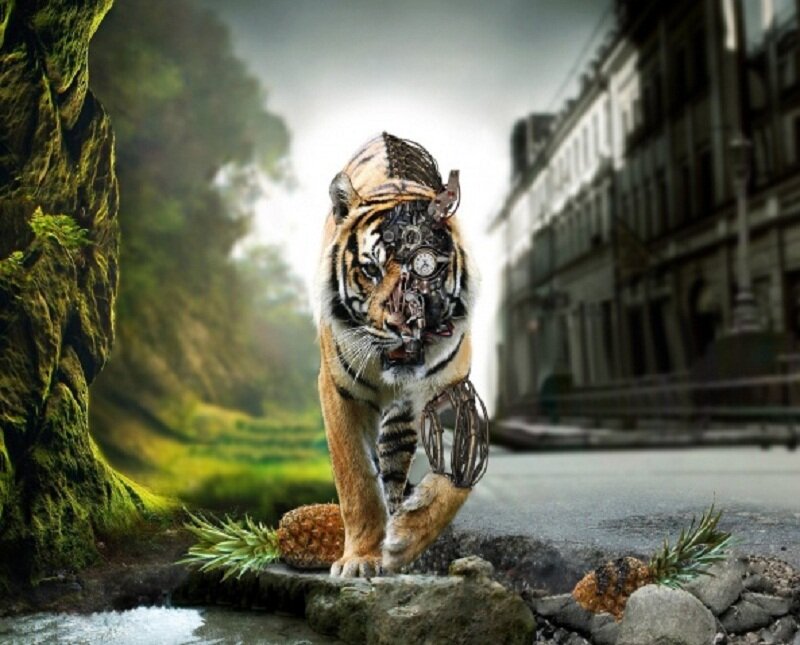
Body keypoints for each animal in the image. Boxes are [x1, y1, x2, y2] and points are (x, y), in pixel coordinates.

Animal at [316, 132, 479, 578]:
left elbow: (456, 478)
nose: (405, 325)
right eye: (371, 270)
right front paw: (361, 558)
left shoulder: (453, 392)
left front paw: (406, 538)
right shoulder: (338, 392)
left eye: (426, 269)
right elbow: (356, 479)